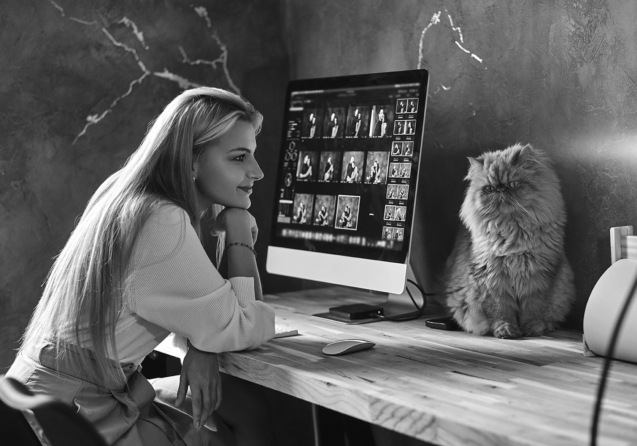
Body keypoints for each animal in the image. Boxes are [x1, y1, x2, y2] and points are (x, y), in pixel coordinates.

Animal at [444, 144, 572, 338]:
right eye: (489, 189)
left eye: (512, 184)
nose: (500, 189)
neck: (512, 231)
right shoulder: (491, 276)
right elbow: (501, 310)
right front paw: (506, 331)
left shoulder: (538, 275)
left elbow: (533, 308)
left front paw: (532, 329)